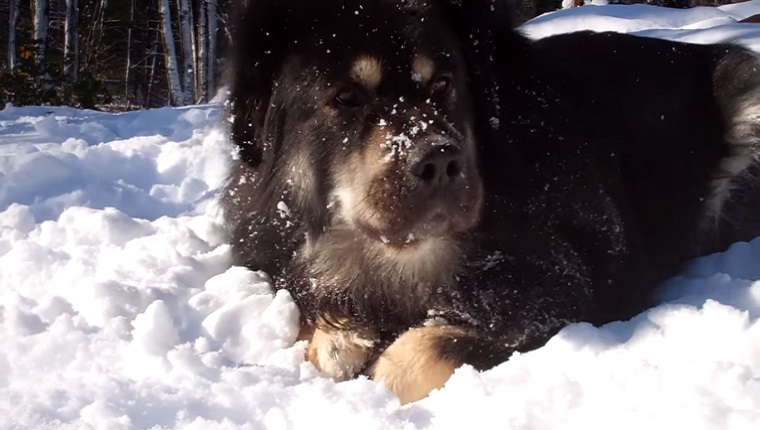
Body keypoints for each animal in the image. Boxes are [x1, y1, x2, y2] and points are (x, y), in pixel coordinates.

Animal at [221, 0, 760, 404]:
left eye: (443, 84)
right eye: (346, 98)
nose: (438, 159)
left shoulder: (569, 285)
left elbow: (417, 355)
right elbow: (325, 334)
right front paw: (342, 337)